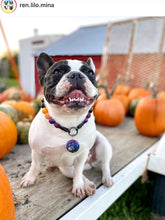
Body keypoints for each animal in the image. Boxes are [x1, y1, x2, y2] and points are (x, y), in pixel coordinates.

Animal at [20, 52, 113, 197]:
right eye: (57, 72)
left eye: (90, 73)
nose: (76, 75)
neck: (68, 121)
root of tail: (89, 164)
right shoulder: (36, 151)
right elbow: (34, 166)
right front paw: (29, 178)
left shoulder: (82, 154)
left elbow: (78, 172)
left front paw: (78, 186)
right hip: (65, 168)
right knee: (75, 173)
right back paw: (88, 185)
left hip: (103, 145)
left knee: (104, 165)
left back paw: (106, 178)